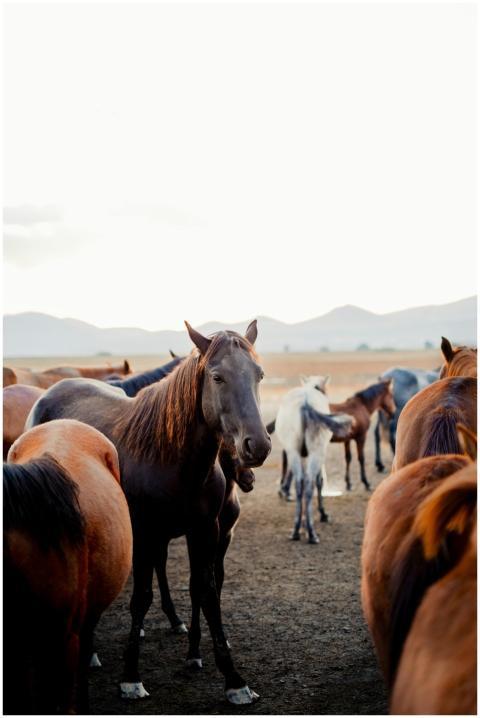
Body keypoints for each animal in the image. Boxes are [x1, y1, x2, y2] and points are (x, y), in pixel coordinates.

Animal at [27, 320, 271, 705]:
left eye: (258, 374)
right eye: (217, 377)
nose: (257, 445)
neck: (171, 457)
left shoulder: (205, 531)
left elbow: (206, 591)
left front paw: (233, 680)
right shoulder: (144, 534)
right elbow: (141, 599)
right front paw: (130, 677)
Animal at [273, 376, 353, 543]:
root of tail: (305, 403)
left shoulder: (302, 455)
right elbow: (320, 481)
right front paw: (323, 514)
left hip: (294, 452)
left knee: (300, 484)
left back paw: (297, 530)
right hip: (316, 453)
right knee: (310, 483)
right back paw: (311, 532)